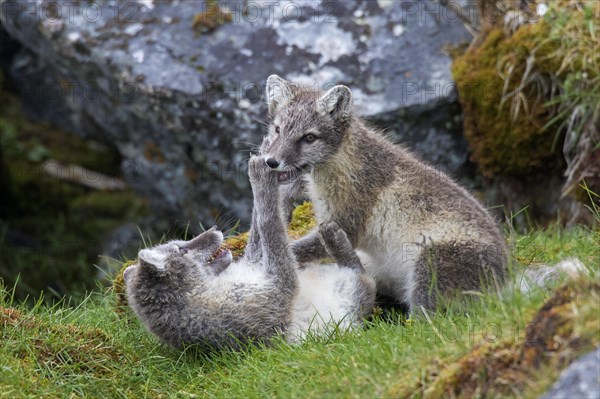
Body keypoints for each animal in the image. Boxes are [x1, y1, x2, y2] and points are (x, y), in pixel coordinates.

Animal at [123, 156, 376, 350]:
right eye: (181, 249)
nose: (215, 229)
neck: (207, 290)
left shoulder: (253, 264)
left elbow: (257, 232)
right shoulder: (278, 291)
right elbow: (269, 224)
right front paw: (261, 178)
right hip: (352, 289)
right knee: (364, 276)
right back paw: (334, 237)